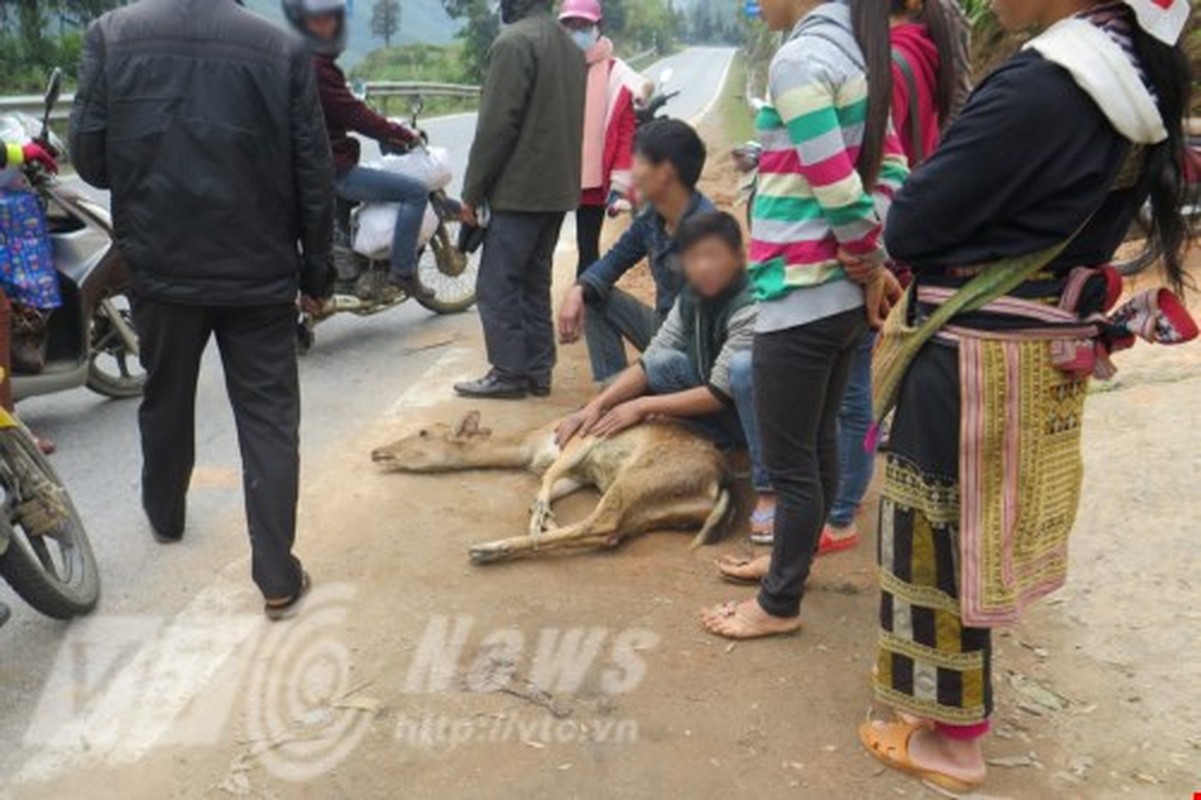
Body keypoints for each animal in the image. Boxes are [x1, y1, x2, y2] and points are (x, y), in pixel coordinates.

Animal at [372, 408, 730, 564]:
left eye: (422, 433)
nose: (377, 451)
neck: (529, 447)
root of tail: (718, 484)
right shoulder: (579, 475)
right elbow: (541, 490)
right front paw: (546, 520)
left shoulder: (580, 439)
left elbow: (544, 483)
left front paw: (540, 522)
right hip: (652, 510)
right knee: (609, 533)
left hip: (636, 479)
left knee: (600, 522)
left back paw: (487, 548)